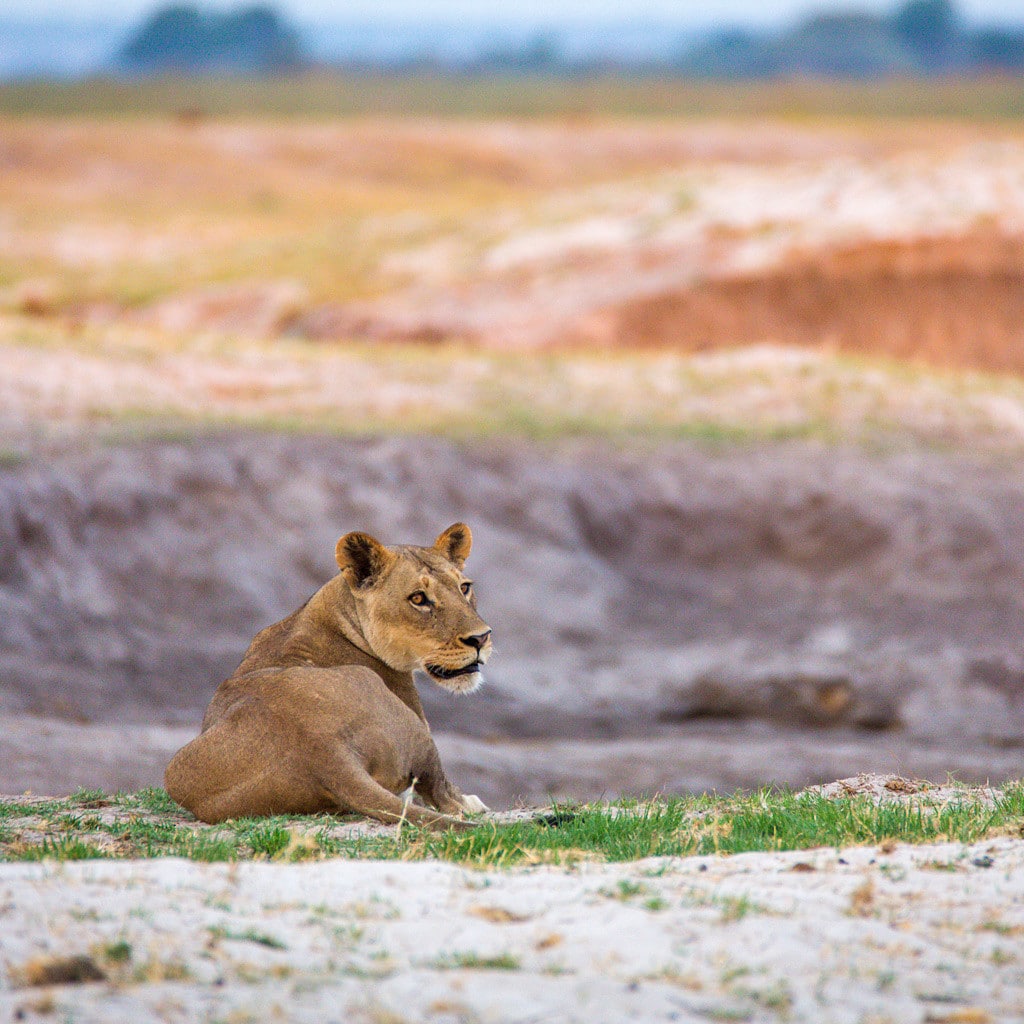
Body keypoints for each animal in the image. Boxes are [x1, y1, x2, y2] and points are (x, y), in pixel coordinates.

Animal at [164, 523, 493, 830]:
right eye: (418, 598)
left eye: (464, 588)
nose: (481, 638)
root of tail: (321, 750)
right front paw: (468, 801)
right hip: (398, 711)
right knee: (440, 791)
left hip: (176, 771)